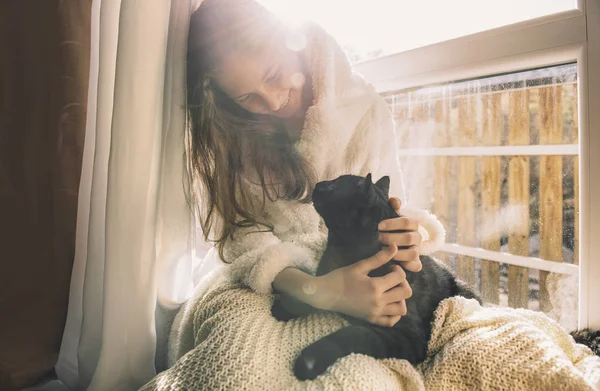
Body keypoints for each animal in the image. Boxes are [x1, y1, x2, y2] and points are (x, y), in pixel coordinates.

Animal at [274, 174, 480, 380]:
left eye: (335, 185)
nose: (319, 184)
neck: (341, 250)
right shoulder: (327, 279)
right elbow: (315, 289)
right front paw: (285, 306)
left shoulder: (406, 335)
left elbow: (355, 334)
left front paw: (311, 359)